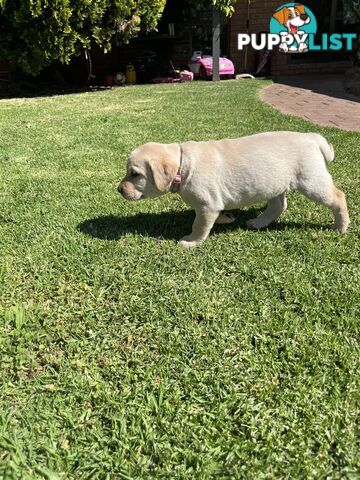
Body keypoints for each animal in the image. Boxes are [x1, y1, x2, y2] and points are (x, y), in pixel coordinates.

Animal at [118, 133, 348, 249]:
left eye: (134, 174)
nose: (119, 189)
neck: (184, 165)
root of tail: (313, 137)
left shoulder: (207, 205)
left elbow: (199, 225)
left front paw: (191, 241)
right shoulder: (211, 205)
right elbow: (212, 216)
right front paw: (226, 218)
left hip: (311, 181)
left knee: (338, 197)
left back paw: (341, 226)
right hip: (275, 181)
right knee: (278, 205)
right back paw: (258, 222)